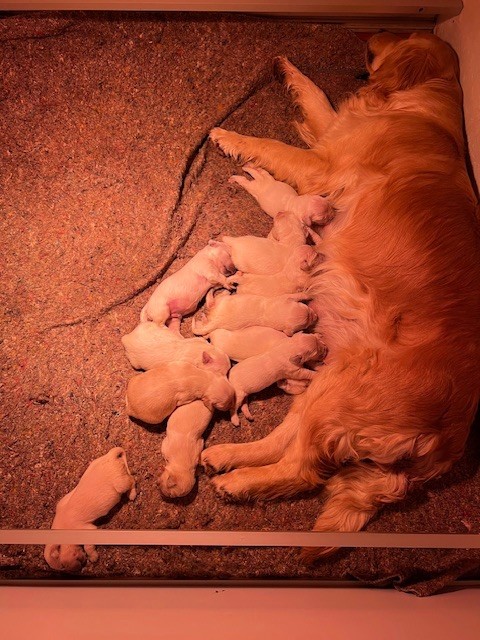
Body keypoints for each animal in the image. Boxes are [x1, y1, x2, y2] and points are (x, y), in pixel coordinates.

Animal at [201, 31, 480, 560]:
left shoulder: (323, 166)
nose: (372, 35)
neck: (422, 107)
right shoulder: (332, 132)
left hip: (340, 396)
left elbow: (274, 144)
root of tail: (448, 440)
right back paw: (226, 457)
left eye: (400, 35)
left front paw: (231, 137)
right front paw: (287, 68)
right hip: (328, 388)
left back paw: (238, 482)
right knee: (282, 445)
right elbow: (317, 97)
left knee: (301, 470)